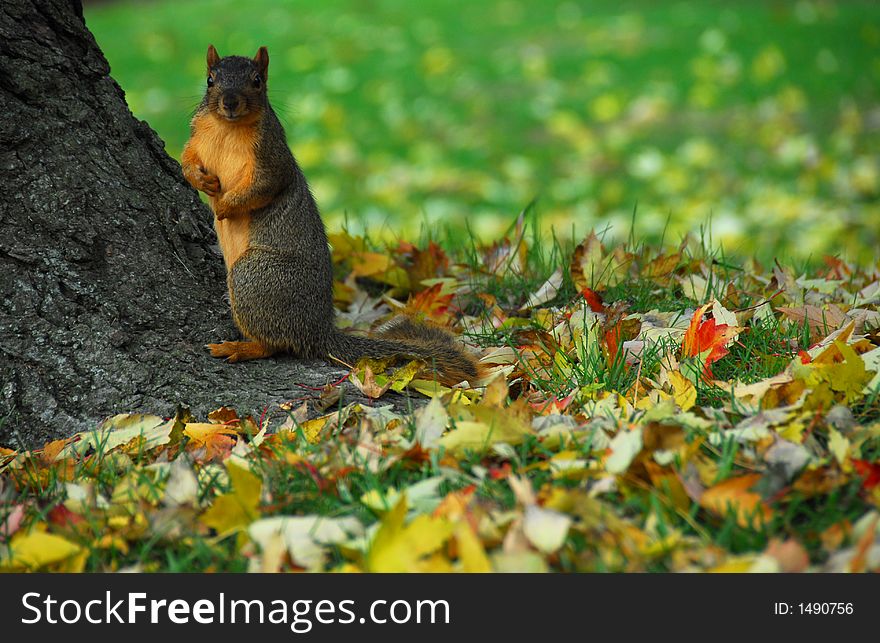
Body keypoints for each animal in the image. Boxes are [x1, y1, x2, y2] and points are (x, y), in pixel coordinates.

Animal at [180, 46, 482, 388]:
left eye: (257, 81)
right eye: (210, 79)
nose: (230, 102)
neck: (226, 128)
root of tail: (317, 333)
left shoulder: (272, 159)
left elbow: (260, 189)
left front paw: (223, 208)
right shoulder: (197, 137)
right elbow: (187, 160)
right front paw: (200, 181)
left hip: (255, 275)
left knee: (275, 344)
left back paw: (241, 347)